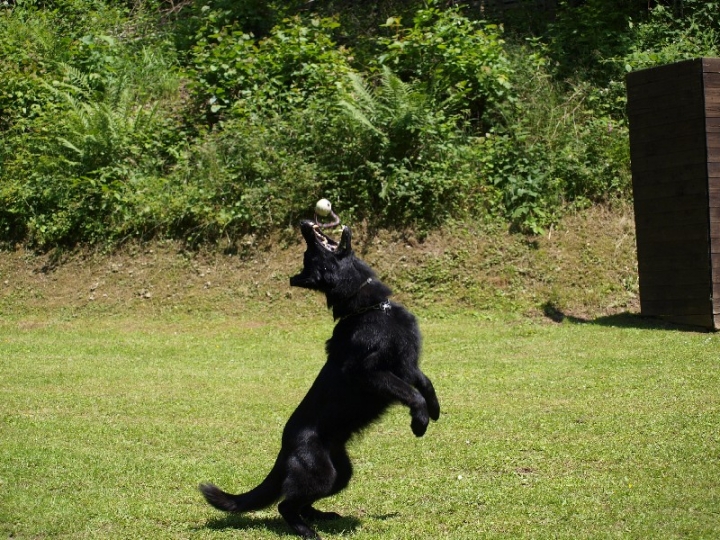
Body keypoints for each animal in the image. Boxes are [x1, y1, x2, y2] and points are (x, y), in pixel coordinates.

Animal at [200, 220, 442, 540]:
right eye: (310, 255)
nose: (303, 223)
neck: (371, 308)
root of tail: (285, 449)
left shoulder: (405, 364)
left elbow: (425, 383)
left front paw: (435, 410)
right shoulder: (371, 373)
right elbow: (411, 393)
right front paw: (420, 422)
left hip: (340, 474)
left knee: (302, 501)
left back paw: (321, 516)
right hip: (323, 474)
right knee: (285, 505)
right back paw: (307, 531)